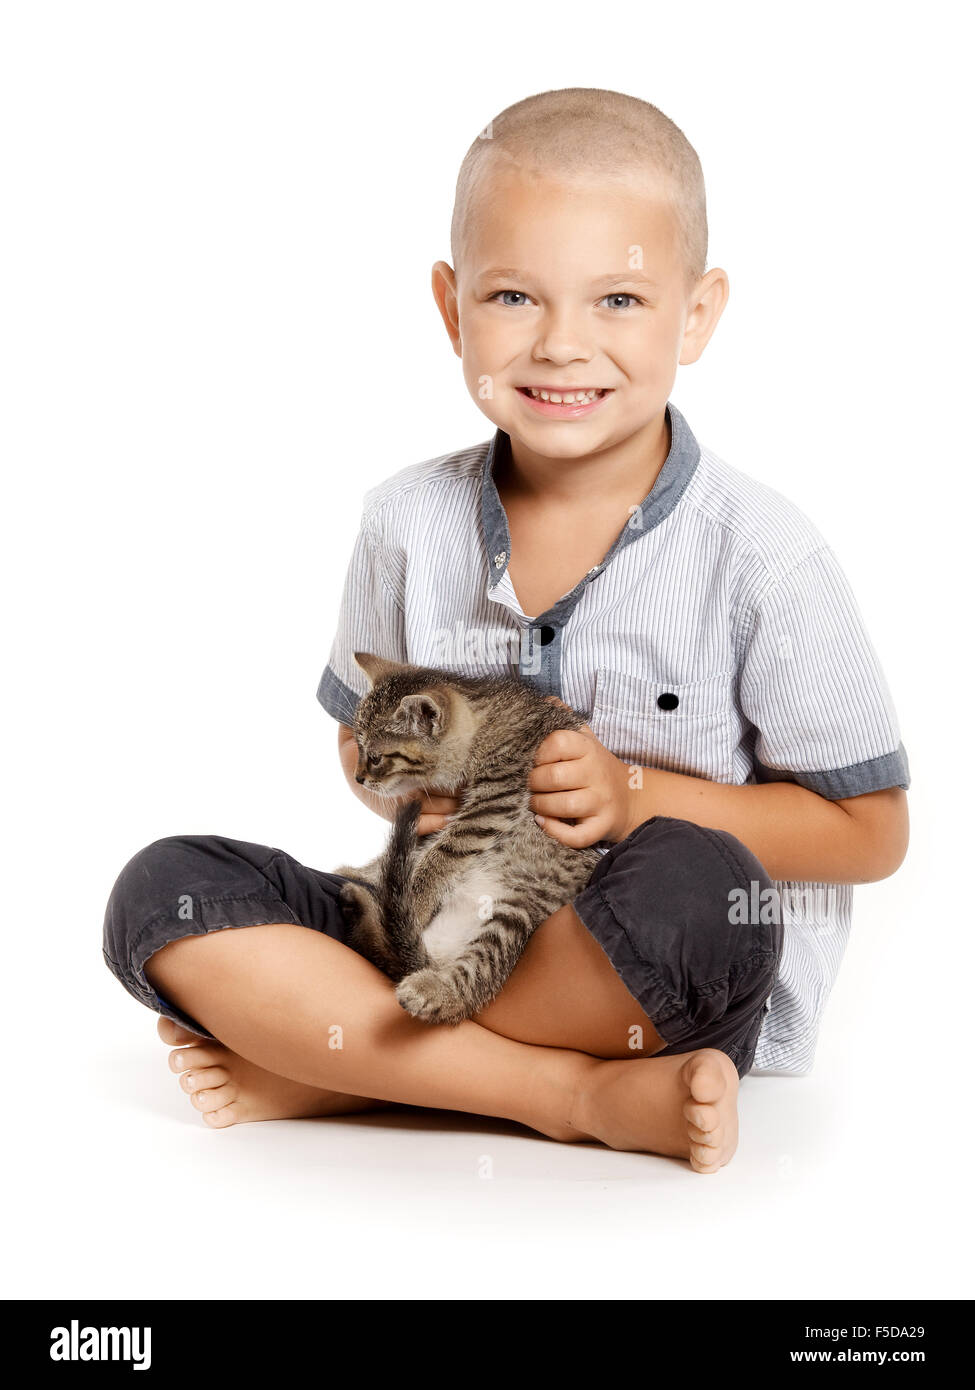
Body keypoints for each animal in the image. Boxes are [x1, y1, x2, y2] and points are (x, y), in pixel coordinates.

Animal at [335, 647, 600, 1023]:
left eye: (374, 757)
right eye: (356, 748)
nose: (358, 778)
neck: (483, 720)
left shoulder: (494, 800)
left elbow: (442, 853)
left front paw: (414, 901)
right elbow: (417, 850)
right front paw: (362, 871)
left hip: (514, 913)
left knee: (473, 978)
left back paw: (433, 990)